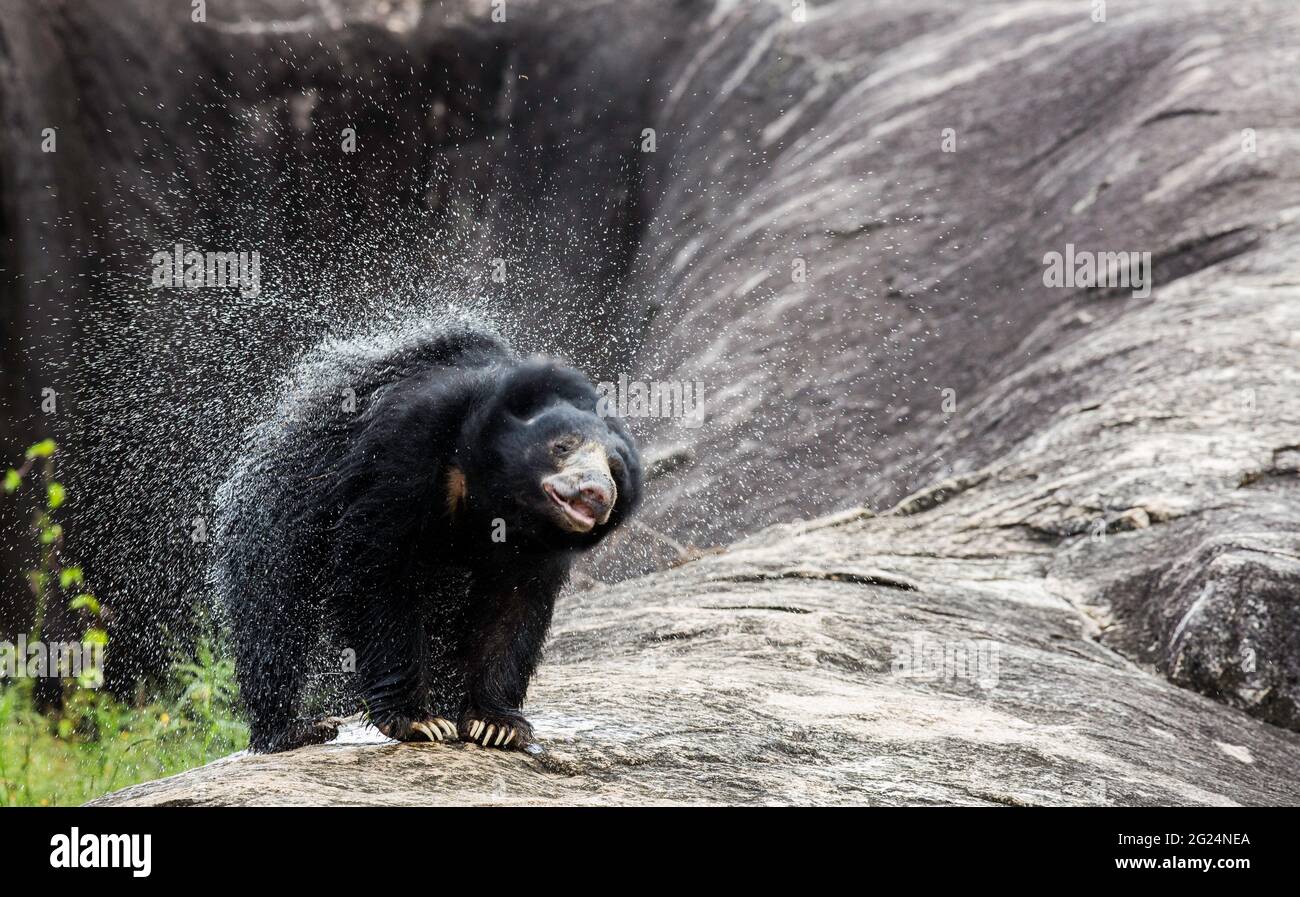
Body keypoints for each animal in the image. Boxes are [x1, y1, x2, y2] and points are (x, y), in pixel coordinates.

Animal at [213, 317, 642, 753]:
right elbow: (379, 567)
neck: (495, 496)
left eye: (615, 471)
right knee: (273, 614)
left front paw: (495, 725)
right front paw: (419, 721)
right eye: (562, 446)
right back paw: (295, 729)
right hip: (283, 503)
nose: (597, 494)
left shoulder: (534, 547)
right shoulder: (407, 445)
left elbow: (515, 606)